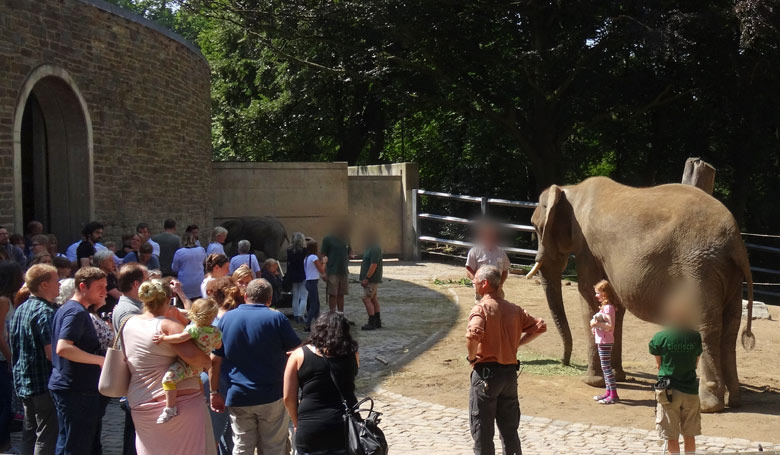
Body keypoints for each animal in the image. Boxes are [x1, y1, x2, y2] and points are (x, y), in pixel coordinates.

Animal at [528, 177, 752, 414]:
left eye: (536, 227)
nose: (564, 361)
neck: (572, 190)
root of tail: (736, 241)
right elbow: (615, 305)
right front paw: (618, 377)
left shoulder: (587, 248)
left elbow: (589, 296)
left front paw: (591, 382)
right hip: (728, 274)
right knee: (730, 330)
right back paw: (734, 400)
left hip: (700, 267)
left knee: (707, 327)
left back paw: (709, 406)